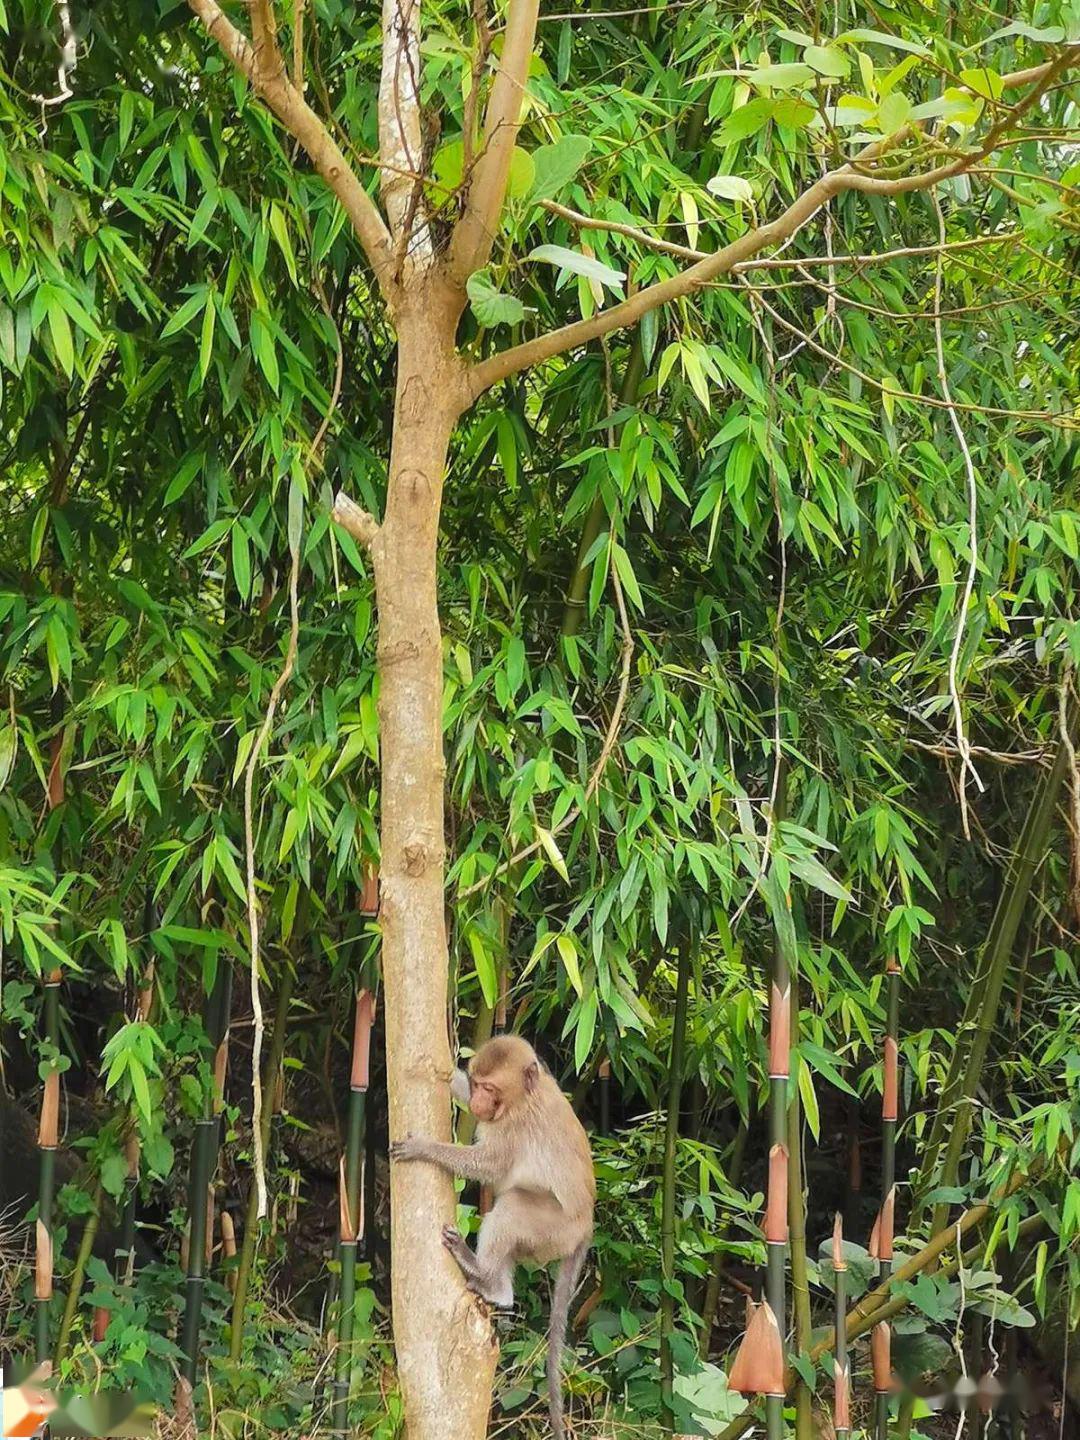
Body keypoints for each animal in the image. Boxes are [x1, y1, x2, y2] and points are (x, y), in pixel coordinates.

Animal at [391, 1042, 596, 1434]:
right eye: (477, 1083)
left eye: (491, 1088)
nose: (479, 1102)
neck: (523, 1098)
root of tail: (587, 1229)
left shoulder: (515, 1127)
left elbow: (489, 1165)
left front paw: (425, 1148)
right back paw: (499, 1288)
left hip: (556, 1230)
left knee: (513, 1207)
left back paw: (481, 1271)